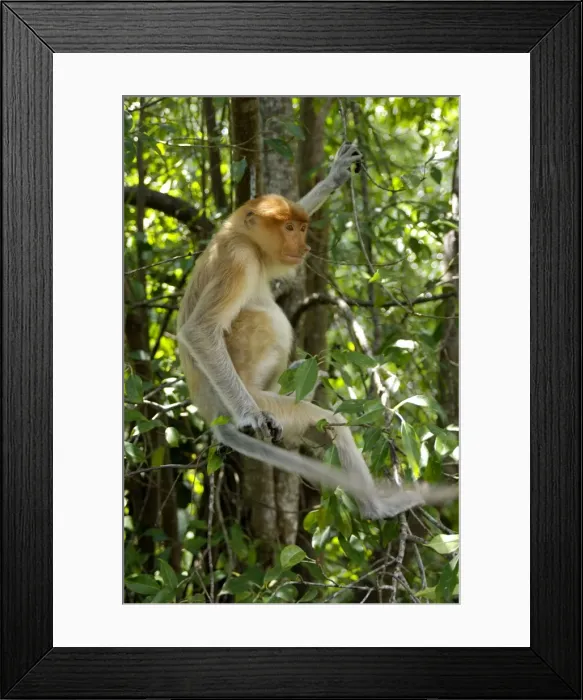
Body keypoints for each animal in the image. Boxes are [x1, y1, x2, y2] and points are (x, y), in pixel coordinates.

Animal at [177, 142, 458, 519]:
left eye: (300, 226)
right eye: (288, 228)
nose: (305, 245)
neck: (242, 236)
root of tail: (211, 414)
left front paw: (335, 174)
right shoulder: (238, 258)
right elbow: (199, 330)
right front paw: (251, 417)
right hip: (262, 397)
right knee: (322, 417)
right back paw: (376, 507)